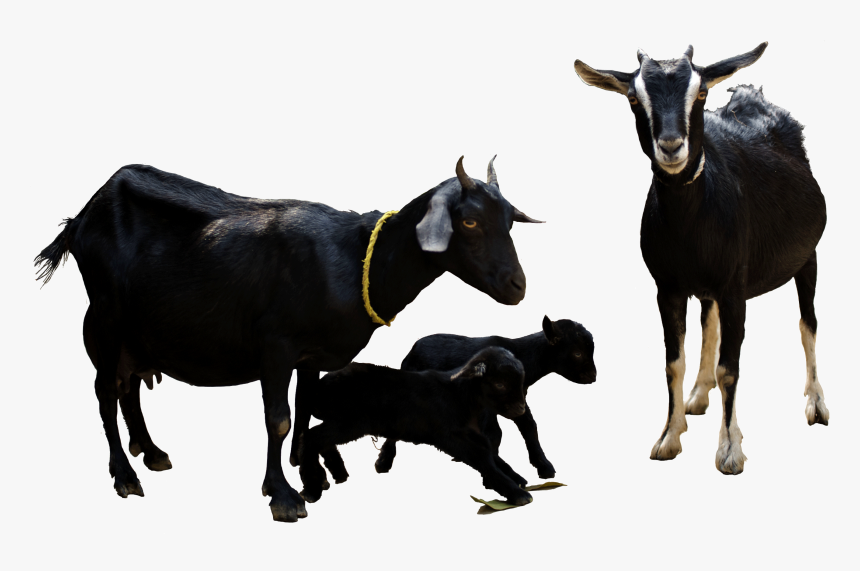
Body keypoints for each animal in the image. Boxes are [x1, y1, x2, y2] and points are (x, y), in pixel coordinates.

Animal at [297, 347, 535, 507]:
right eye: (500, 384)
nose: (520, 409)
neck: (461, 396)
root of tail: (319, 389)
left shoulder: (470, 433)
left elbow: (490, 454)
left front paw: (517, 479)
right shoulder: (449, 436)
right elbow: (480, 457)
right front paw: (517, 493)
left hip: (344, 422)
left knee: (320, 440)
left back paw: (336, 473)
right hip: (350, 421)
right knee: (310, 438)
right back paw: (312, 489)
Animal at [373, 316, 596, 478]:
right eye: (577, 353)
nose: (593, 376)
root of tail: (412, 349)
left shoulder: (517, 399)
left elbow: (529, 427)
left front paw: (544, 466)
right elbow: (495, 433)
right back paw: (384, 462)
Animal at [575, 43, 827, 474]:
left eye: (702, 92)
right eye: (633, 98)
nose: (671, 146)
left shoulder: (735, 286)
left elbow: (731, 367)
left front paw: (729, 450)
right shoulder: (667, 287)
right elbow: (673, 361)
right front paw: (669, 436)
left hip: (807, 255)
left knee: (806, 323)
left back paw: (816, 403)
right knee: (710, 320)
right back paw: (698, 393)